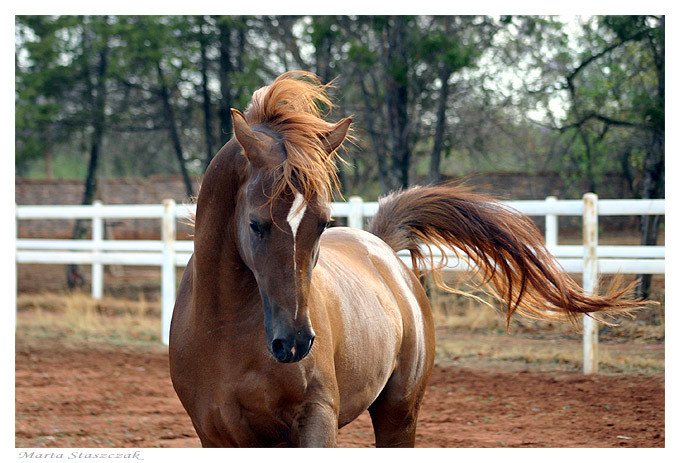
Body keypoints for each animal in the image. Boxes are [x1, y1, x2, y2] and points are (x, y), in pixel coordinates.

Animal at [167, 70, 644, 448]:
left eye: (322, 222)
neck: (227, 331)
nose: (296, 343)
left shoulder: (315, 422)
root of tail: (380, 249)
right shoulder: (215, 436)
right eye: (256, 224)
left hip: (399, 414)